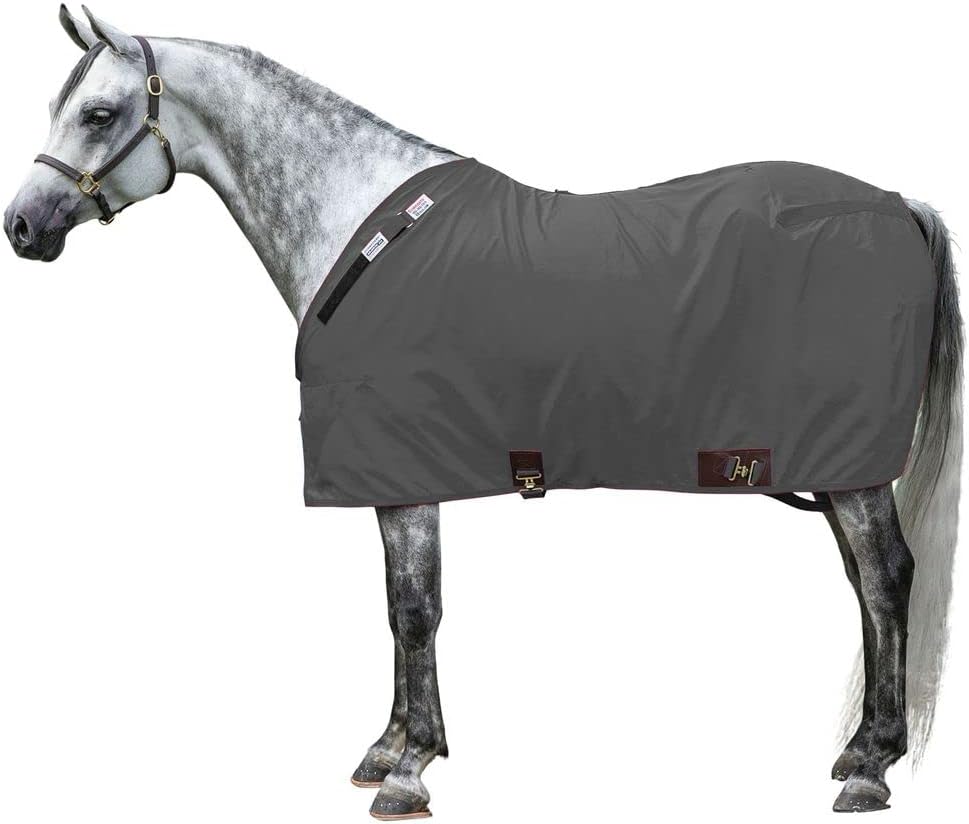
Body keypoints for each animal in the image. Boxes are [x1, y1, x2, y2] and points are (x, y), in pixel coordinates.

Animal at [4, 7, 962, 819]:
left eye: (97, 114)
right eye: (60, 107)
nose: (21, 226)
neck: (361, 236)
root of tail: (896, 204)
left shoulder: (404, 472)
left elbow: (414, 609)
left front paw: (409, 768)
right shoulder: (392, 474)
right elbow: (396, 608)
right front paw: (389, 747)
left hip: (847, 468)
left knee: (886, 579)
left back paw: (871, 768)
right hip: (830, 469)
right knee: (863, 586)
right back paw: (857, 751)